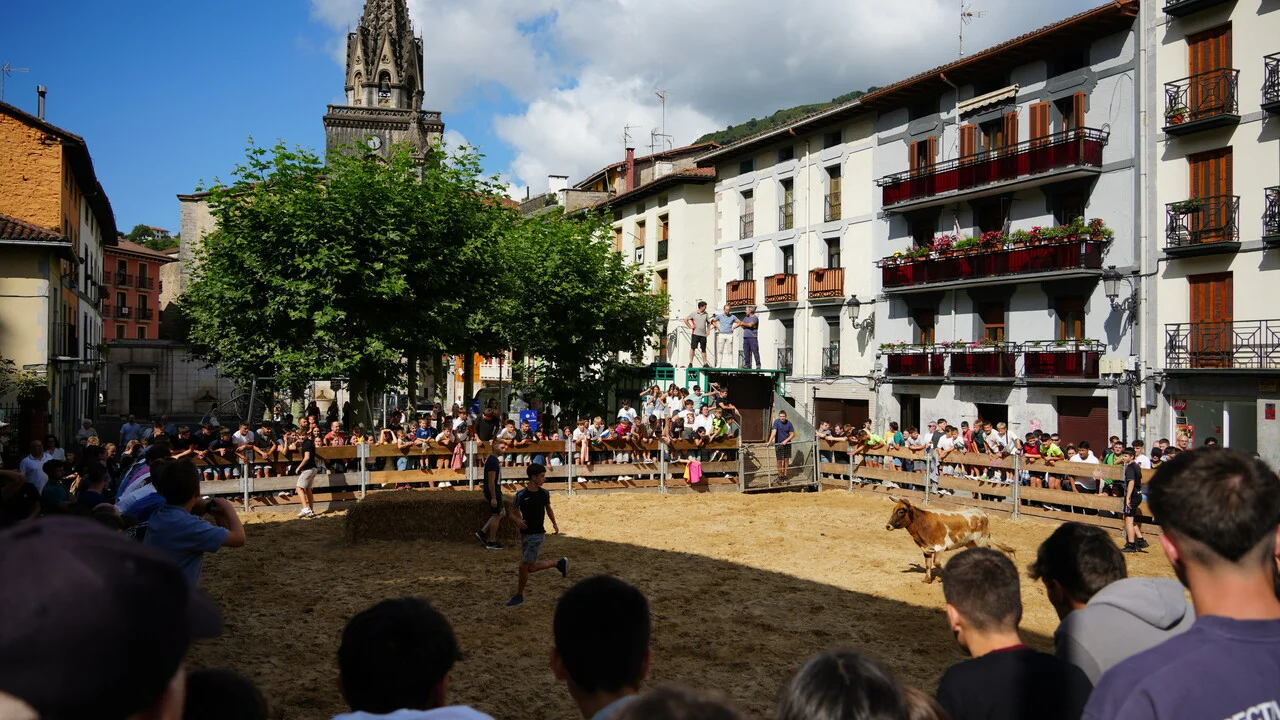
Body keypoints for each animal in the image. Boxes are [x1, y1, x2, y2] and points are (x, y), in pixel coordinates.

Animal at [884, 496, 1016, 583]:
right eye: (893, 510)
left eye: (901, 511)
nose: (888, 526)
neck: (923, 523)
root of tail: (982, 513)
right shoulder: (926, 549)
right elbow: (928, 564)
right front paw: (927, 580)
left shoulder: (940, 547)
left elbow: (937, 563)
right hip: (970, 542)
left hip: (981, 540)